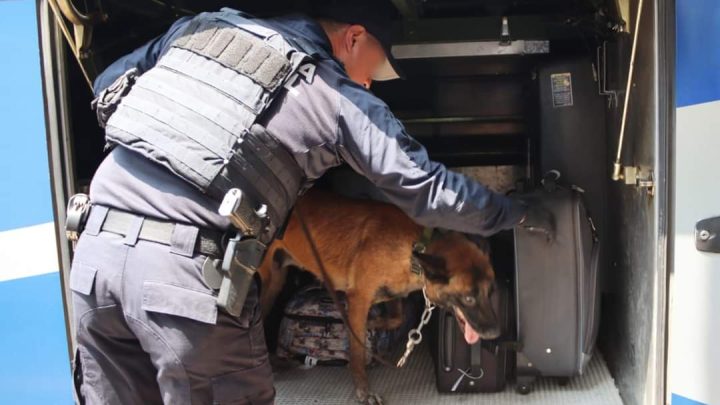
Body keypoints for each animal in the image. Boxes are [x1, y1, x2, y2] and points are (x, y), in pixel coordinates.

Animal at [258, 189, 500, 400]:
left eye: (490, 292)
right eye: (469, 298)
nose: (496, 332)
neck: (414, 249)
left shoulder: (392, 295)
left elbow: (396, 318)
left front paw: (374, 323)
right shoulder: (358, 300)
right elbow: (357, 353)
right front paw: (363, 391)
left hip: (276, 281)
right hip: (269, 282)